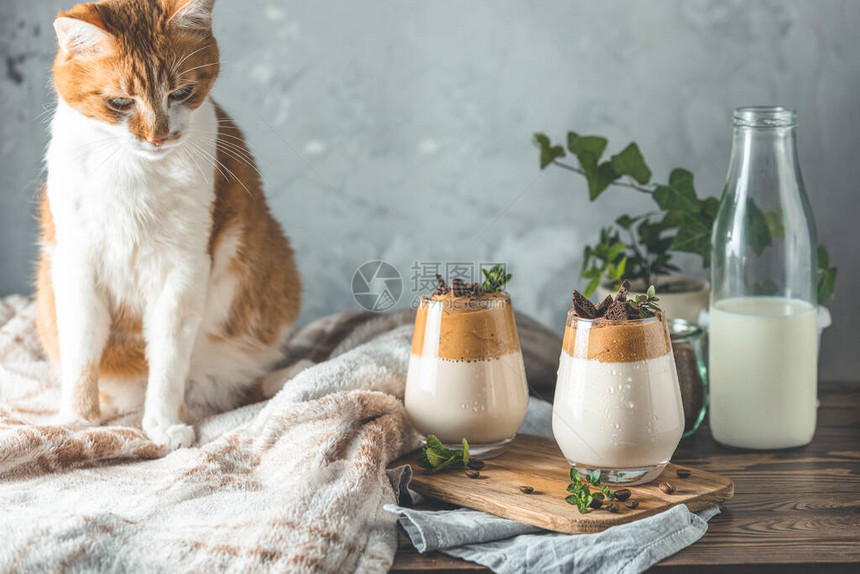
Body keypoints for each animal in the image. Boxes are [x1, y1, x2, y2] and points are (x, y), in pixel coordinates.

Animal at [35, 0, 300, 450]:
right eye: (120, 102)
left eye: (180, 93)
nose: (158, 137)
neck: (132, 170)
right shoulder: (77, 263)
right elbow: (82, 350)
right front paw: (78, 419)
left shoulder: (183, 268)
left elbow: (169, 355)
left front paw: (163, 423)